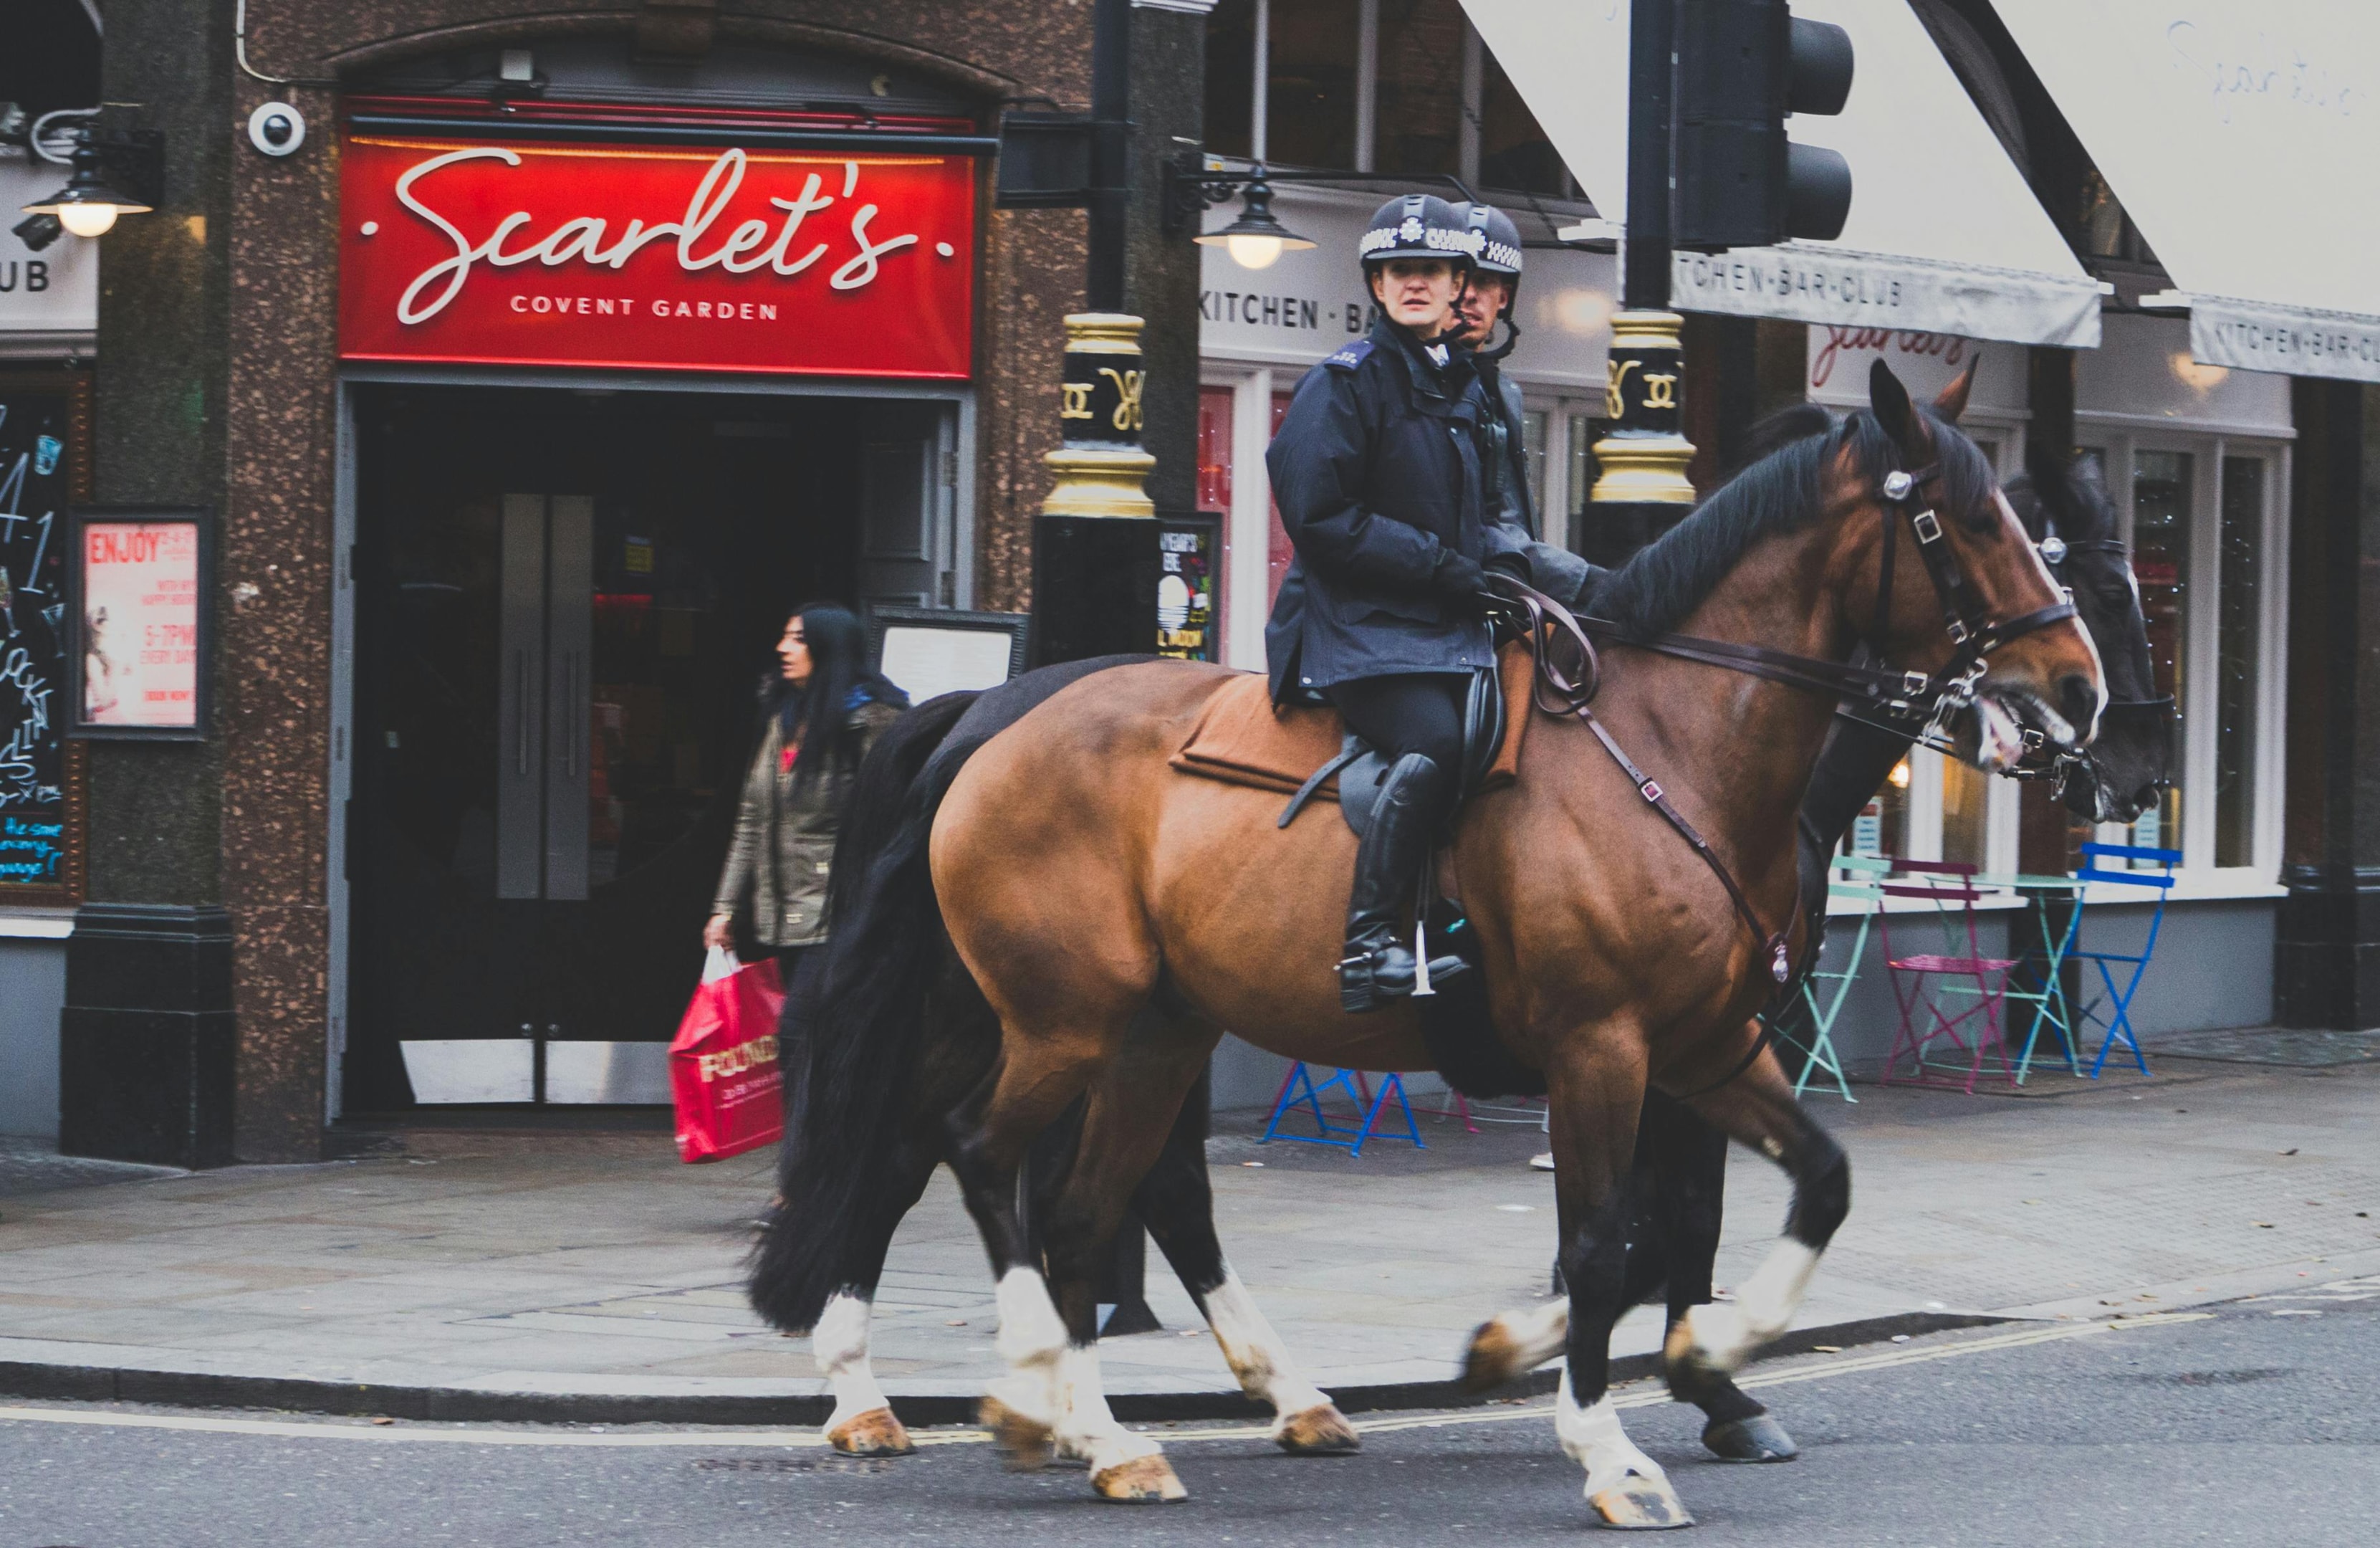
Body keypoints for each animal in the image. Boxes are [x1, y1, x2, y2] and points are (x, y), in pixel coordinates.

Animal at [751, 359, 2104, 1526]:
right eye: (1964, 522)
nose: (2081, 692)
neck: (1673, 747)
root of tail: (994, 720)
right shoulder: (1600, 1046)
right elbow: (1605, 1240)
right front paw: (1611, 1446)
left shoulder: (1709, 1046)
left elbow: (1802, 1187)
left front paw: (1686, 1354)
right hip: (1057, 1017)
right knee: (974, 1153)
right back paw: (1021, 1386)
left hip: (1145, 1027)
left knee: (1077, 1202)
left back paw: (1102, 1430)